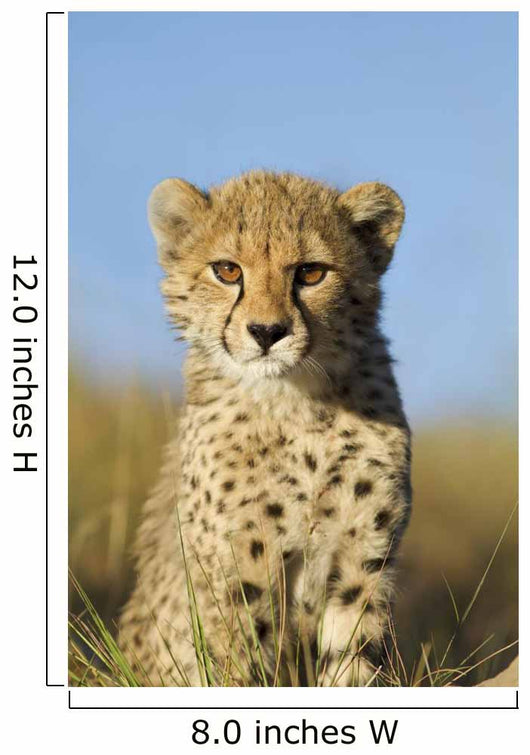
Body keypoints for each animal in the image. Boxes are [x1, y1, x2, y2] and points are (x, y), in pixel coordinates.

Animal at [118, 170, 412, 687]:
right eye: (227, 271)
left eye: (311, 273)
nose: (267, 332)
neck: (296, 404)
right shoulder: (237, 571)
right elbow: (237, 663)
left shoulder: (361, 560)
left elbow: (351, 661)